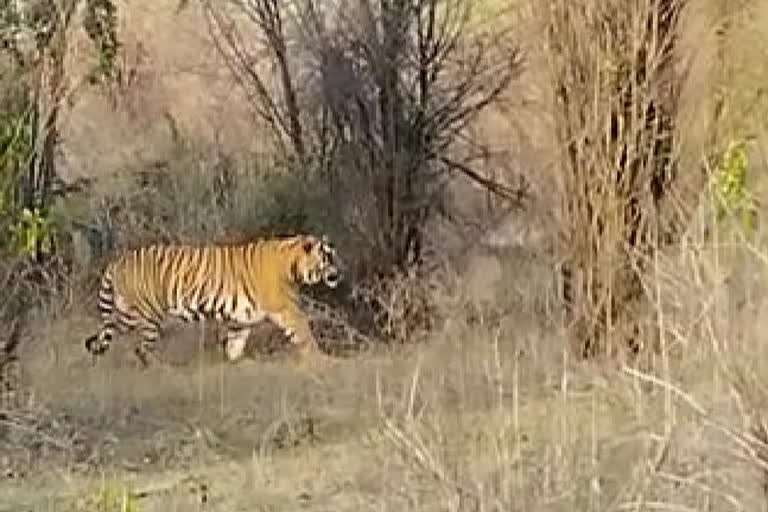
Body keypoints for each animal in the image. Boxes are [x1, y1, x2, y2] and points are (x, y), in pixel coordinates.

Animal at [82, 234, 340, 366]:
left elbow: (235, 345)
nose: (339, 273)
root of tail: (117, 261)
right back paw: (161, 370)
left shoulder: (241, 319)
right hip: (149, 315)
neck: (292, 264)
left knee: (107, 334)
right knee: (141, 348)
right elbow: (304, 332)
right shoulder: (286, 308)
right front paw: (322, 360)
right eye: (328, 258)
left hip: (126, 313)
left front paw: (237, 365)